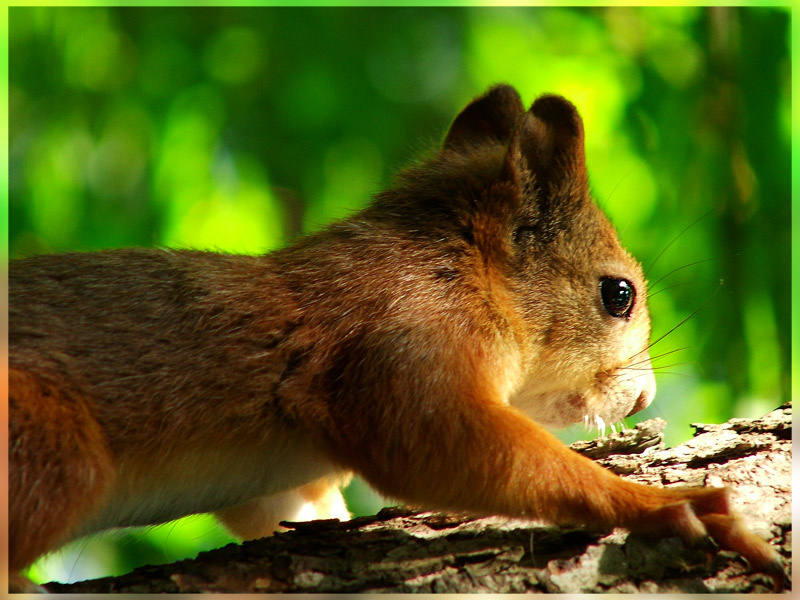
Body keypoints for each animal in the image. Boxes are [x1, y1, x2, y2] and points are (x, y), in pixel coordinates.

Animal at [9, 85, 782, 590]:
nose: (645, 396)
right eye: (617, 294)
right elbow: (428, 438)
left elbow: (282, 504)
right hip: (54, 446)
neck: (460, 269)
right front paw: (665, 506)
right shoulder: (399, 339)